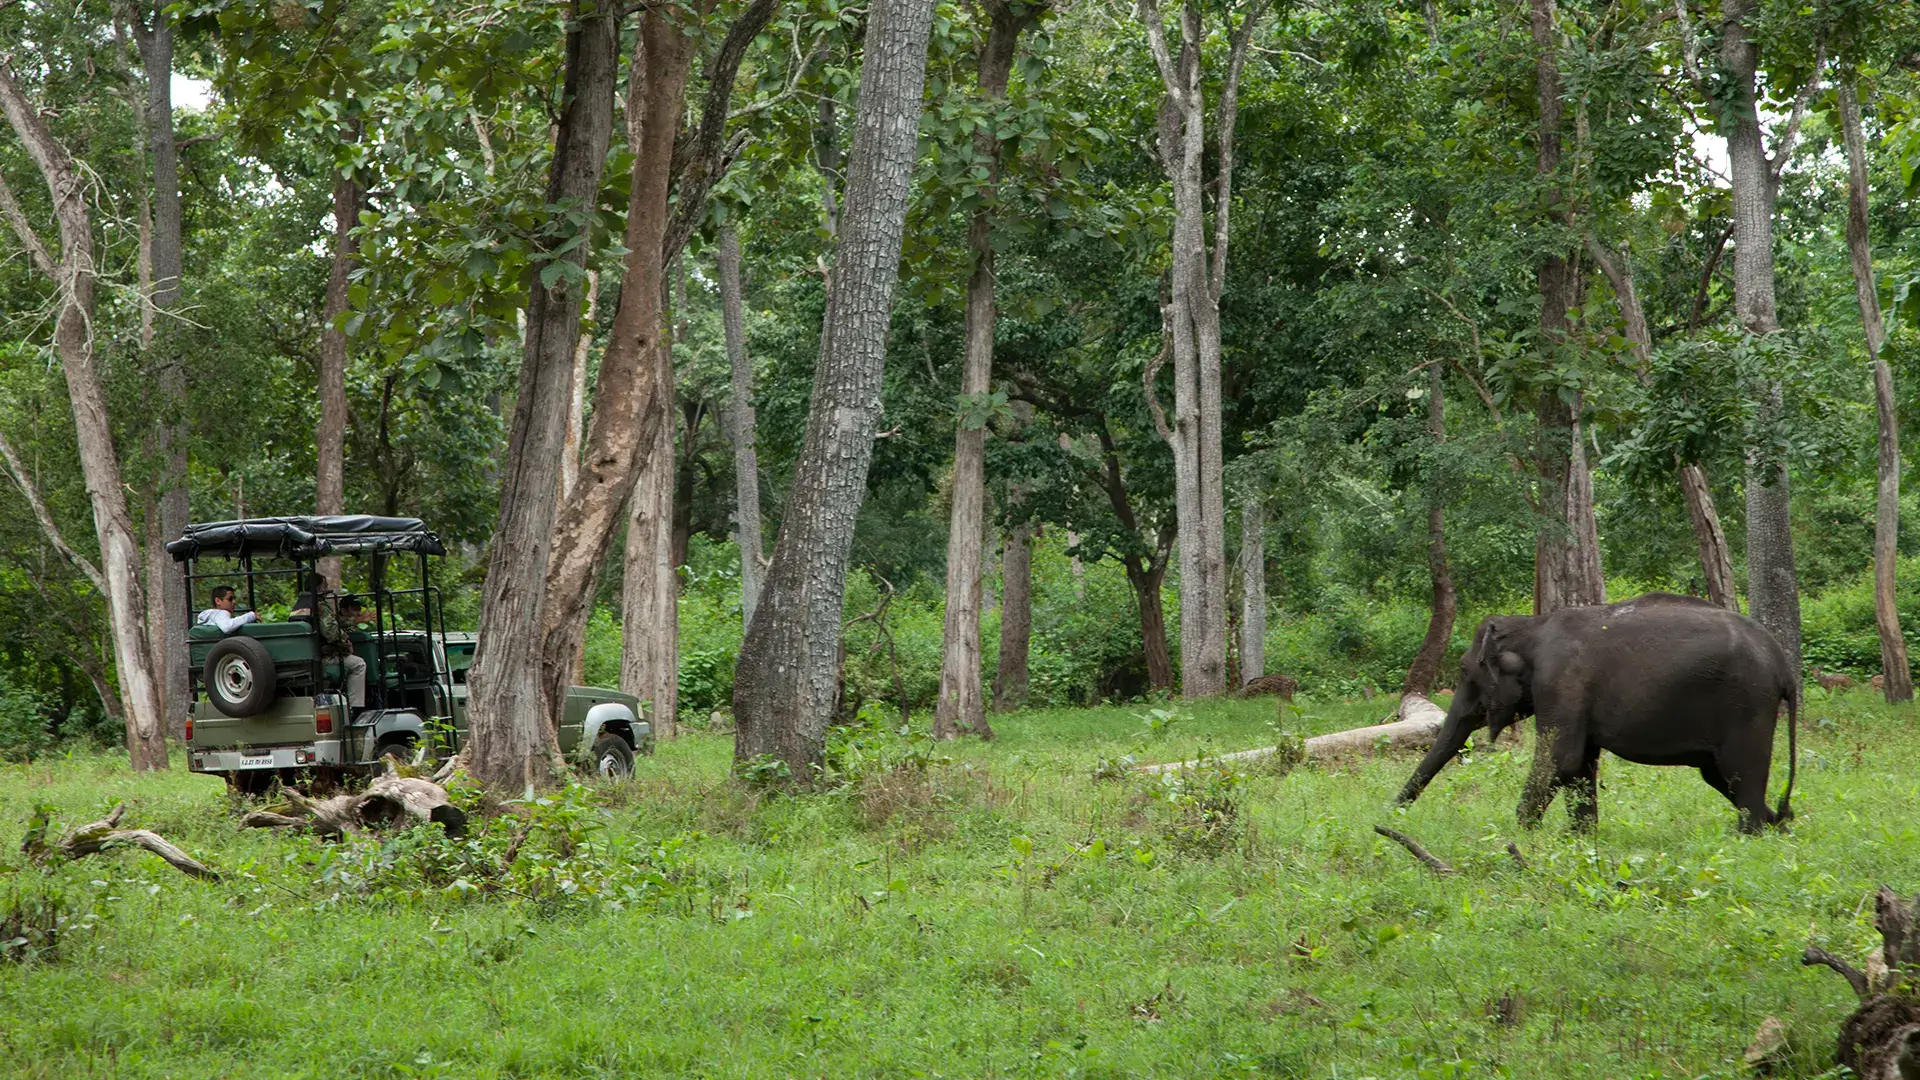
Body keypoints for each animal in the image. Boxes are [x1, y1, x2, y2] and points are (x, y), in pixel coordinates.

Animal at [1395, 592, 1798, 833]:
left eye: (1465, 671)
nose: (1394, 813)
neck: (1530, 624)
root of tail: (1785, 669)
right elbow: (1580, 766)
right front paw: (1580, 839)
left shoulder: (1561, 682)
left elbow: (1561, 759)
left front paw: (1521, 833)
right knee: (1722, 777)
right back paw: (1777, 825)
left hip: (1747, 705)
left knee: (1740, 774)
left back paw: (1750, 835)